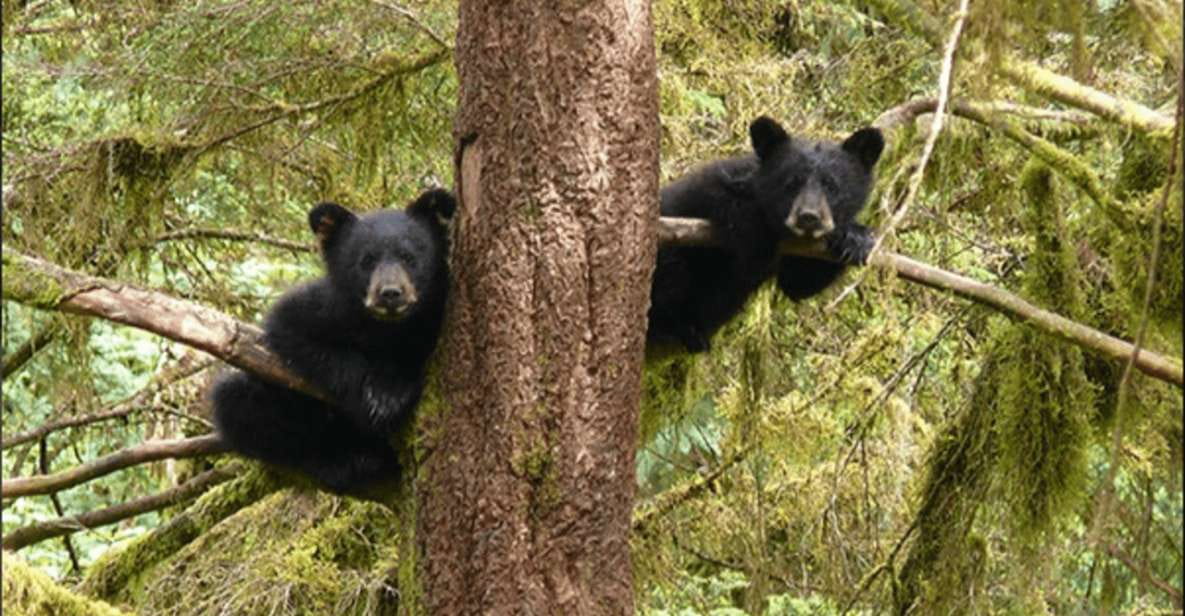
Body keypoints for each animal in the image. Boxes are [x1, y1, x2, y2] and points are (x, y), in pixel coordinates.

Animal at [210, 188, 455, 495]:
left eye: (409, 257)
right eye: (366, 261)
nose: (390, 293)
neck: (384, 326)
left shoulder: (436, 314)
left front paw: (390, 393)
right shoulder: (325, 309)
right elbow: (291, 331)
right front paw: (371, 396)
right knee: (236, 400)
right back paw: (345, 460)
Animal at [647, 116, 884, 354]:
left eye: (832, 186)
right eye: (791, 183)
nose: (808, 217)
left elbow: (798, 283)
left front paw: (855, 238)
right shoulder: (706, 190)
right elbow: (720, 197)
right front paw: (759, 242)